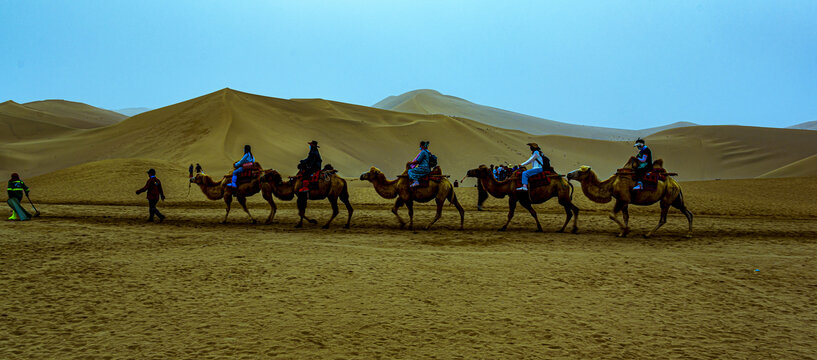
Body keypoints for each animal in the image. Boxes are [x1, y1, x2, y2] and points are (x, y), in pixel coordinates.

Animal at [568, 158, 696, 239]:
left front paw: (626, 230)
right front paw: (622, 233)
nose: (569, 174)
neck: (611, 184)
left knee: (663, 219)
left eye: (580, 172)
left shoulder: (622, 199)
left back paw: (648, 234)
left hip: (667, 198)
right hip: (676, 199)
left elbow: (612, 215)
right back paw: (689, 234)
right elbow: (625, 217)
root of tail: (675, 183)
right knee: (688, 213)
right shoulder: (624, 201)